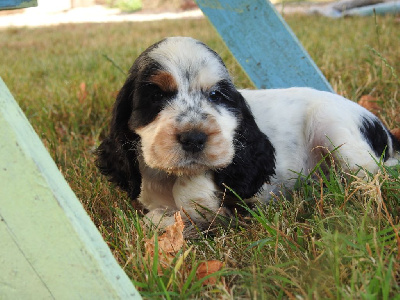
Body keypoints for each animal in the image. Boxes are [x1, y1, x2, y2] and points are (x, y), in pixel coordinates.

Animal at [97, 36, 400, 231]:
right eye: (156, 95)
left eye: (216, 95)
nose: (194, 138)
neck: (170, 176)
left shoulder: (238, 203)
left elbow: (186, 205)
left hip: (334, 127)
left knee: (376, 176)